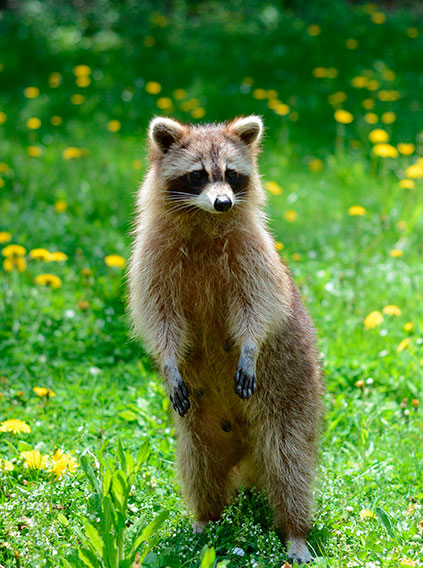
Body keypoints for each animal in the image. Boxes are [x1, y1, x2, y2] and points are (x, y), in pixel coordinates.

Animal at [129, 114, 324, 564]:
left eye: (232, 175)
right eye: (198, 175)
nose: (224, 203)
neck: (204, 220)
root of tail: (246, 449)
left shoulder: (253, 254)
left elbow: (260, 306)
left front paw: (249, 347)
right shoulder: (152, 258)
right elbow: (157, 316)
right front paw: (167, 360)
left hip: (293, 397)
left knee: (289, 463)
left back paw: (295, 530)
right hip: (197, 427)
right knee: (199, 466)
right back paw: (206, 519)